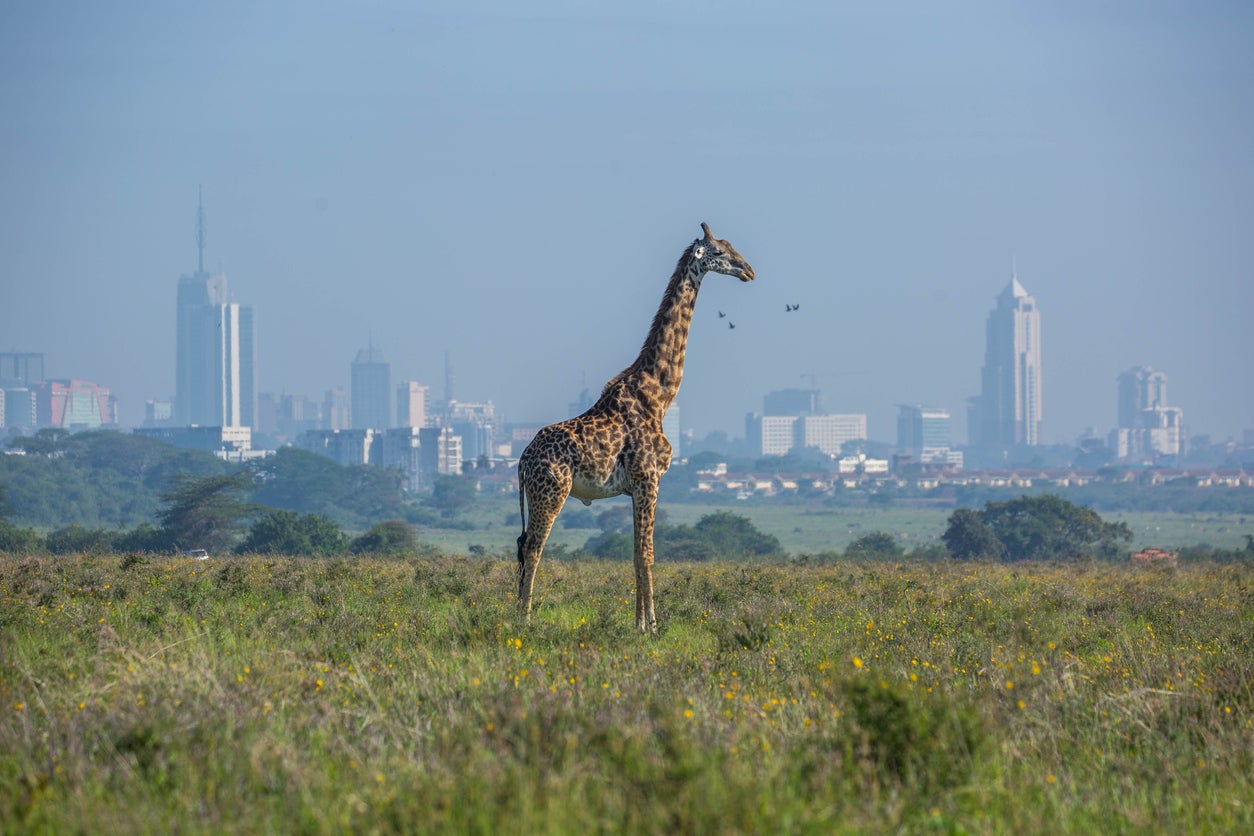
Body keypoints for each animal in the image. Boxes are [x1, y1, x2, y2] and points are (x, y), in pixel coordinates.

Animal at [516, 221, 752, 626]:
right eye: (720, 252)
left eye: (732, 245)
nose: (749, 270)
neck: (659, 394)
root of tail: (521, 462)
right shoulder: (649, 478)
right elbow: (647, 555)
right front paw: (651, 625)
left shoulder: (635, 487)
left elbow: (635, 555)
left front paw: (639, 622)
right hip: (550, 492)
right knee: (533, 549)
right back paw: (525, 621)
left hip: (537, 495)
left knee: (520, 546)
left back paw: (515, 614)